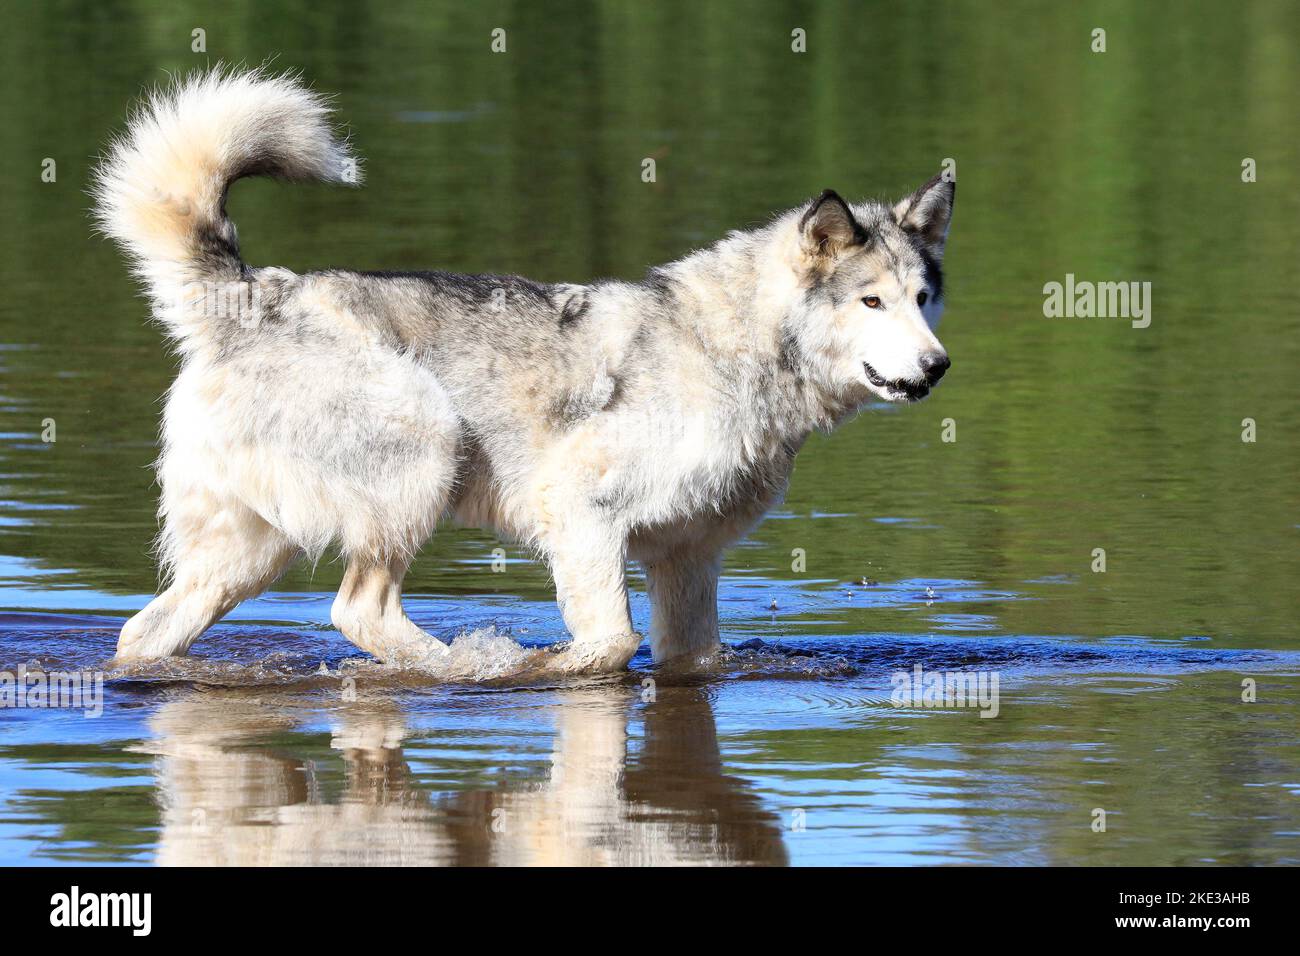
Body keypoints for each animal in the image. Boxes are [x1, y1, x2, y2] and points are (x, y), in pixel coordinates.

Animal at [89, 69, 946, 671]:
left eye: (924, 297)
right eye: (871, 301)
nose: (938, 366)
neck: (734, 352)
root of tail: (256, 292)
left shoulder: (688, 561)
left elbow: (689, 656)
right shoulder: (581, 509)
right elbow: (609, 643)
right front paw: (553, 668)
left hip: (248, 556)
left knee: (144, 631)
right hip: (422, 455)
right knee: (359, 612)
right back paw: (470, 669)